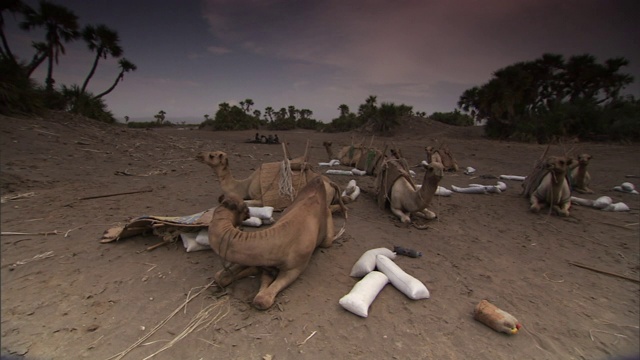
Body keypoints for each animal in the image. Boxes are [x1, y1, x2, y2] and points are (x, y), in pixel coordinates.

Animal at [199, 150, 352, 211]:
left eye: (212, 155)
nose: (199, 155)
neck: (245, 185)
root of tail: (331, 183)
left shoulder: (260, 199)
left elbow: (247, 202)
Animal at [206, 175, 344, 310]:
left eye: (245, 209)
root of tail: (321, 180)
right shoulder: (260, 261)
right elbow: (220, 276)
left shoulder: (294, 269)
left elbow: (262, 300)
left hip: (325, 233)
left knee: (327, 237)